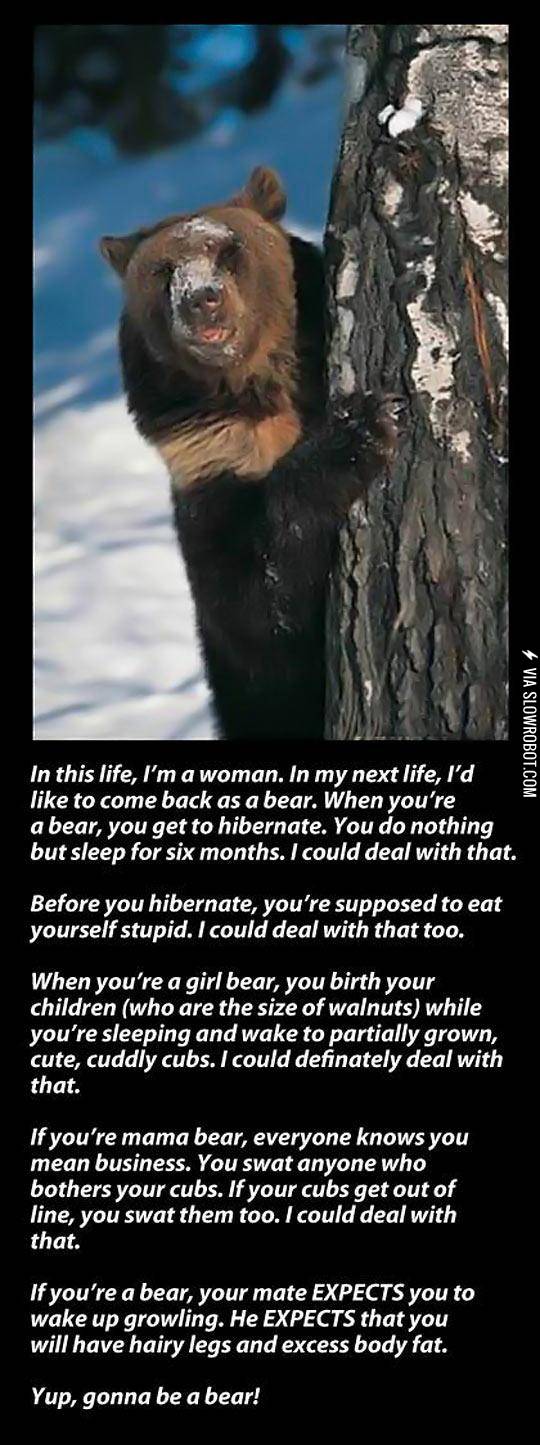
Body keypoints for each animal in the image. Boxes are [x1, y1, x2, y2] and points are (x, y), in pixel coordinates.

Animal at [100, 166, 397, 740]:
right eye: (162, 269)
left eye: (228, 247)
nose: (201, 298)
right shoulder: (213, 465)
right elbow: (258, 597)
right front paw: (360, 428)